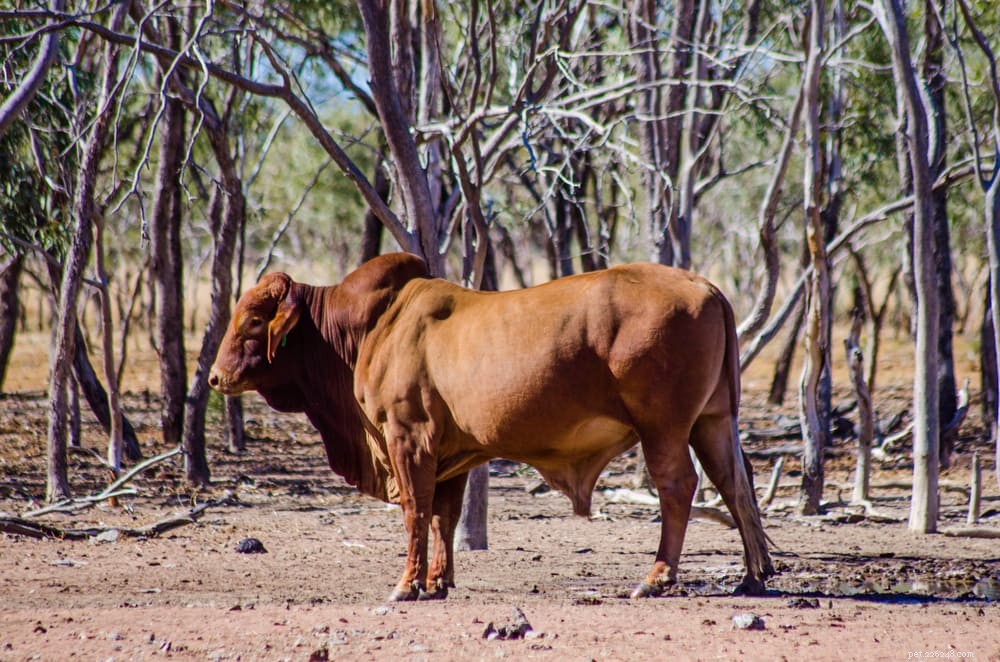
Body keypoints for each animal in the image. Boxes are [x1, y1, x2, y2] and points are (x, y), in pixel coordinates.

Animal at [208, 252, 774, 601]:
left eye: (253, 321)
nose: (215, 377)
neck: (369, 327)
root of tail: (704, 285)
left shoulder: (407, 438)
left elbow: (415, 511)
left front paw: (407, 584)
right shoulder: (448, 454)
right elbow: (443, 515)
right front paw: (437, 582)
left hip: (663, 427)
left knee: (679, 487)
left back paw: (655, 578)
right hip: (714, 420)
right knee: (735, 484)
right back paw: (754, 576)